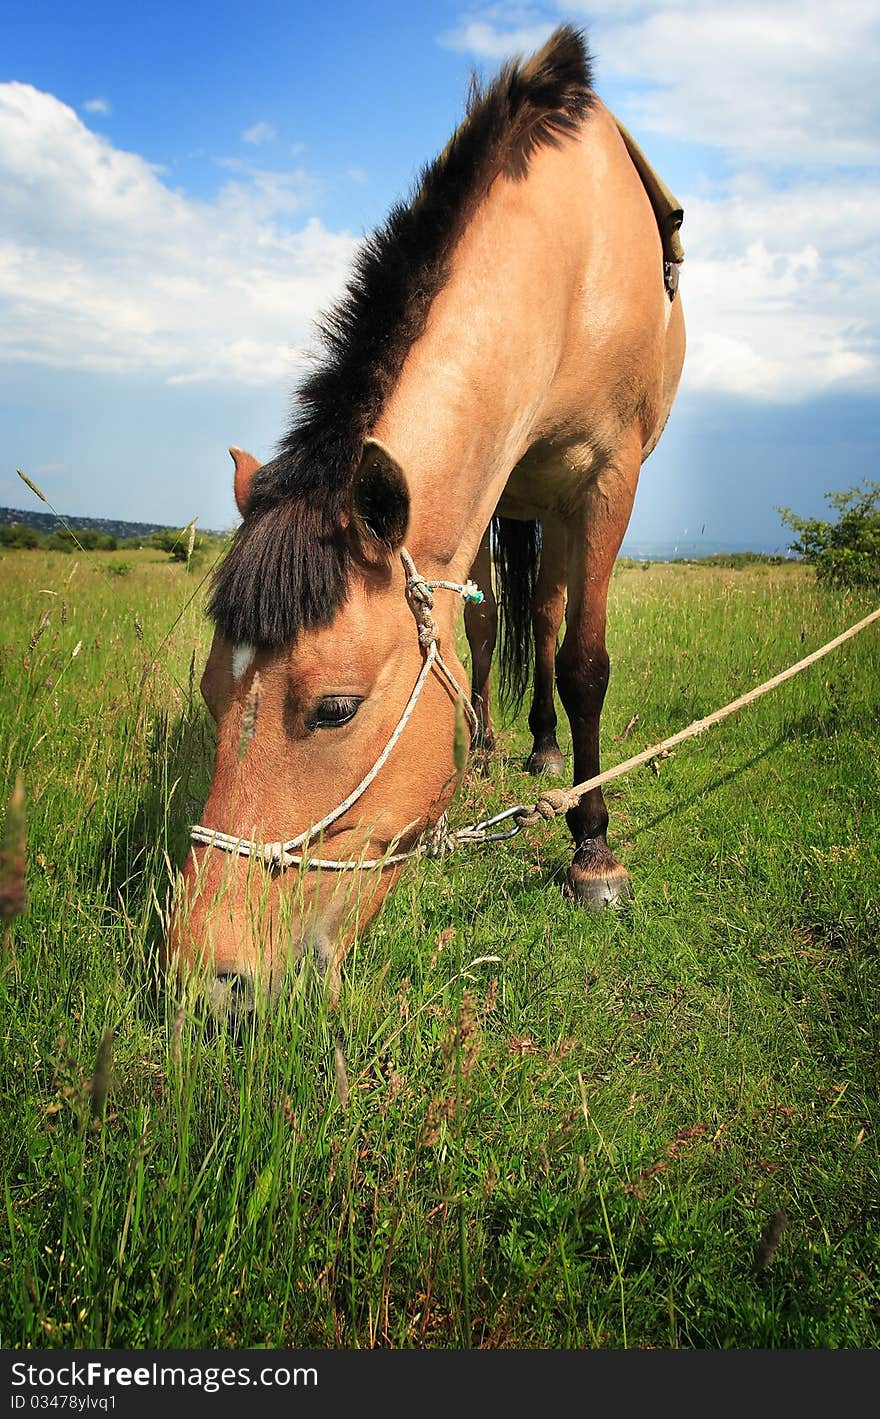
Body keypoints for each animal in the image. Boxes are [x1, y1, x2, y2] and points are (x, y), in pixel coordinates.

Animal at [166, 30, 686, 1010]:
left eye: (334, 709)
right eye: (213, 690)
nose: (207, 982)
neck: (572, 257)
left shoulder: (609, 481)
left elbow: (585, 663)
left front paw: (594, 850)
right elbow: (486, 633)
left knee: (551, 625)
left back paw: (547, 755)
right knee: (504, 626)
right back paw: (494, 745)